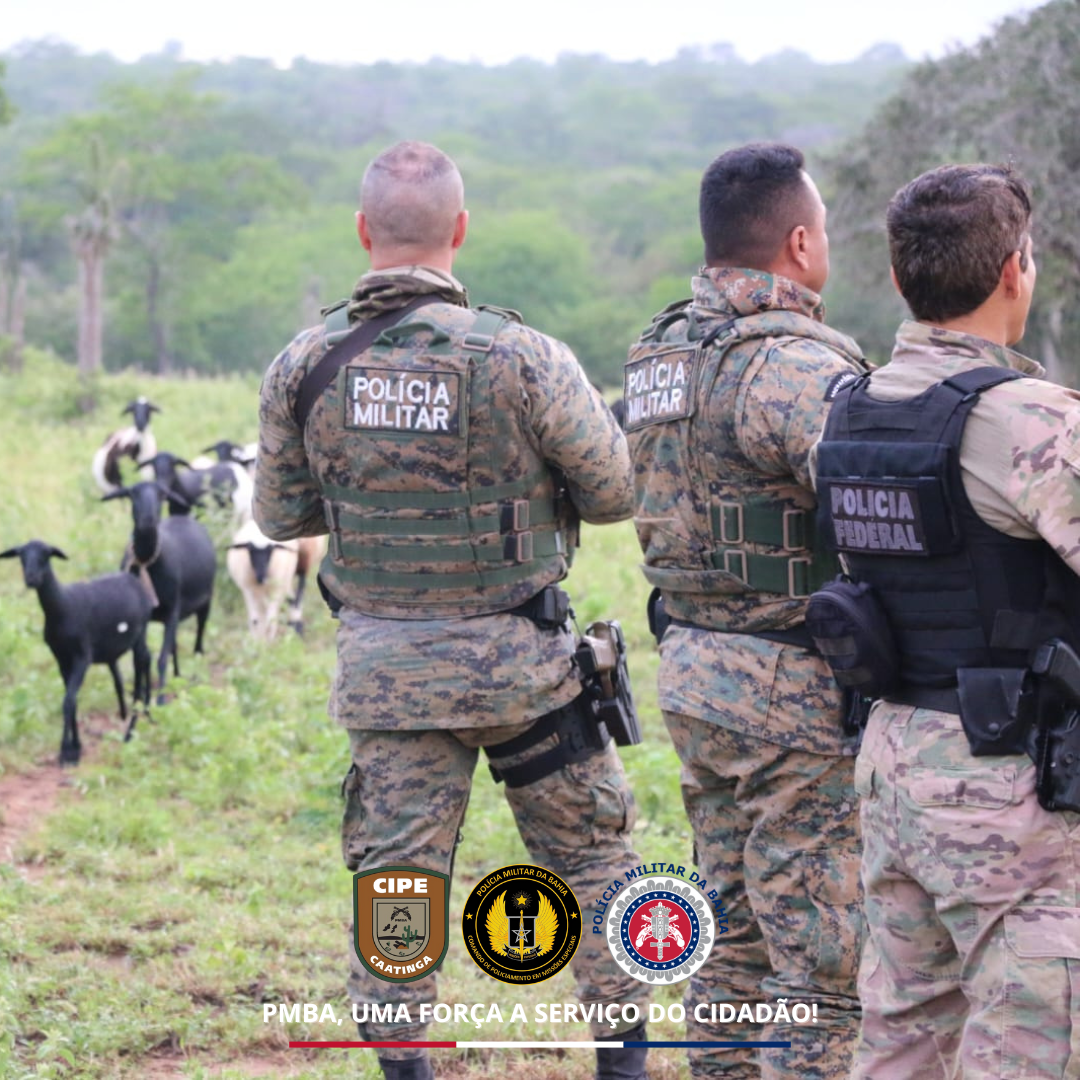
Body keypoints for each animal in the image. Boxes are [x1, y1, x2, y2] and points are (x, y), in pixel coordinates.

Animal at [1, 537, 152, 760]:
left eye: (46, 555)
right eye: (21, 556)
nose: (31, 579)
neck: (63, 606)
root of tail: (132, 577)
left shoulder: (82, 656)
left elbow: (68, 701)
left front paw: (66, 752)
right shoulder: (61, 658)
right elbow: (72, 700)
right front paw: (75, 746)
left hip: (140, 632)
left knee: (142, 666)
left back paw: (133, 728)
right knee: (145, 660)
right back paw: (144, 713)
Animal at [104, 479, 216, 699]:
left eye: (162, 494)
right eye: (131, 493)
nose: (148, 520)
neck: (147, 562)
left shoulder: (173, 608)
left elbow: (161, 658)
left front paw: (161, 699)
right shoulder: (142, 617)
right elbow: (140, 657)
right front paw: (139, 696)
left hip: (206, 600)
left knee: (198, 638)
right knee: (173, 645)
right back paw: (177, 676)